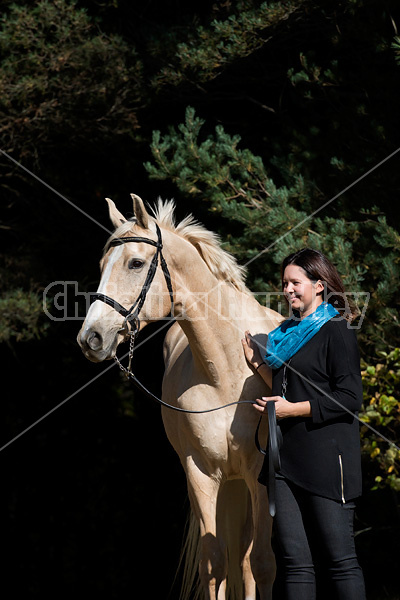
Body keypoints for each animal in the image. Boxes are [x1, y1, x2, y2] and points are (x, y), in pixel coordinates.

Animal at [77, 195, 282, 596]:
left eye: (135, 263)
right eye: (101, 265)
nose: (90, 337)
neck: (227, 371)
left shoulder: (258, 475)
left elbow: (262, 565)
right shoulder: (201, 474)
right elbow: (214, 563)